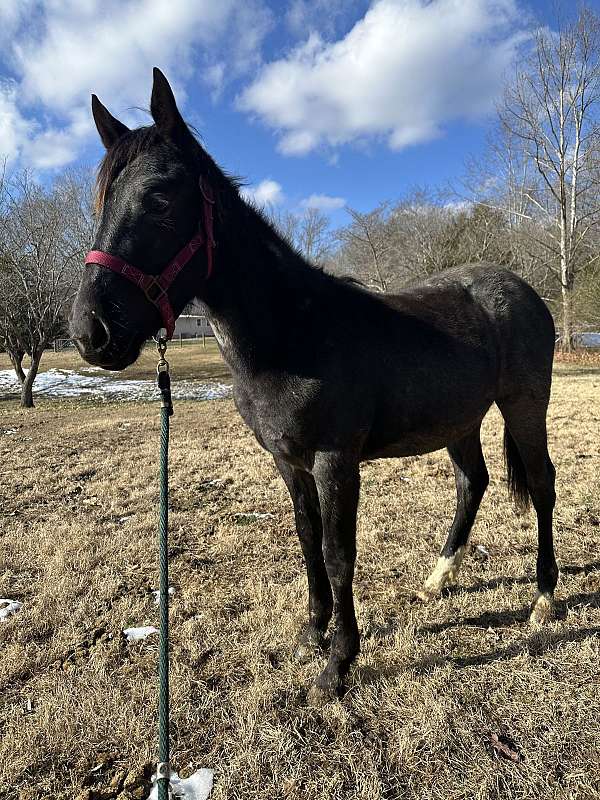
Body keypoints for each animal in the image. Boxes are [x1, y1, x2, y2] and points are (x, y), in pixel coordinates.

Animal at [70, 70, 556, 708]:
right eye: (101, 202)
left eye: (161, 197)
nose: (92, 332)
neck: (294, 333)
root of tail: (521, 289)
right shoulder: (288, 461)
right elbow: (306, 542)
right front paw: (314, 630)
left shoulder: (334, 460)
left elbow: (337, 552)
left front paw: (338, 665)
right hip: (460, 419)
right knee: (471, 483)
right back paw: (437, 579)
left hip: (525, 406)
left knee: (542, 485)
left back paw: (544, 599)